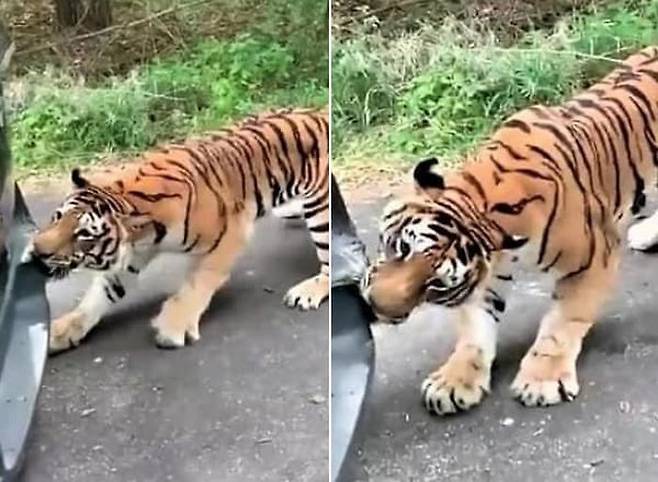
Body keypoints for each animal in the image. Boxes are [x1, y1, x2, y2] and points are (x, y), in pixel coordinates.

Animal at [22, 108, 329, 353]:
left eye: (83, 235)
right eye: (57, 217)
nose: (37, 251)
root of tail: (318, 111)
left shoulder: (228, 235)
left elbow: (198, 283)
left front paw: (173, 327)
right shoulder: (130, 256)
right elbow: (101, 293)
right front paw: (63, 330)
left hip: (320, 208)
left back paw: (308, 292)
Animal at [361, 46, 658, 415]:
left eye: (435, 284)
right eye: (401, 249)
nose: (375, 307)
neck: (484, 204)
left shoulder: (592, 261)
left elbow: (561, 324)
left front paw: (542, 379)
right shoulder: (484, 279)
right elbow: (475, 330)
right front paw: (454, 380)